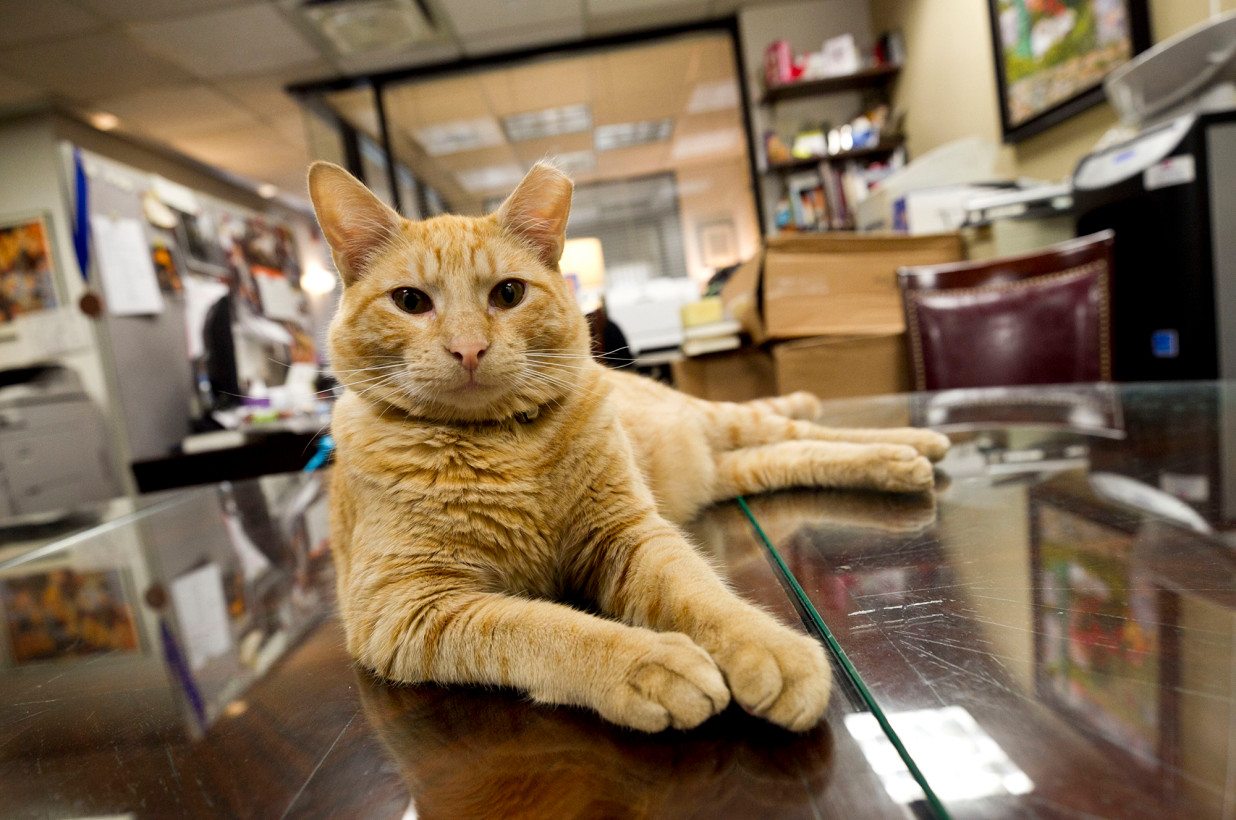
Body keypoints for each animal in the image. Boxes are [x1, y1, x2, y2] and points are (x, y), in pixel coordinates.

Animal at [306, 158, 944, 732]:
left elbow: (702, 595)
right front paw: (649, 663)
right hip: (725, 469)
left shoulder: (630, 533)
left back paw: (912, 443)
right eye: (411, 302)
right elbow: (546, 629)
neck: (501, 445)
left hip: (720, 423)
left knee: (802, 428)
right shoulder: (405, 607)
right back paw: (902, 461)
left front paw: (768, 646)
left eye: (507, 294)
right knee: (784, 455)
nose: (468, 348)